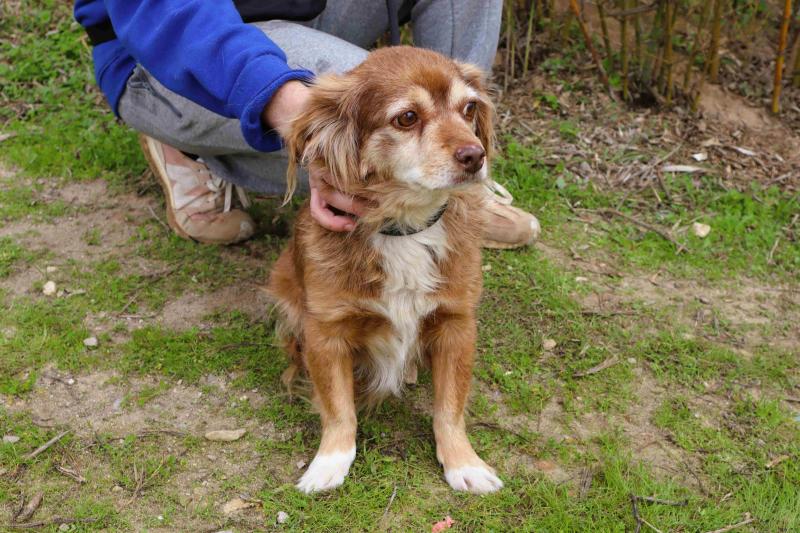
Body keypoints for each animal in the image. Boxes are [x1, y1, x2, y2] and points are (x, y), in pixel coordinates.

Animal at [267, 46, 503, 495]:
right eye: (406, 118)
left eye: (468, 108)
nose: (475, 155)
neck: (405, 227)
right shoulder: (325, 331)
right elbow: (339, 407)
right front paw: (330, 461)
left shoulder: (457, 323)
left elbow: (450, 407)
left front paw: (464, 462)